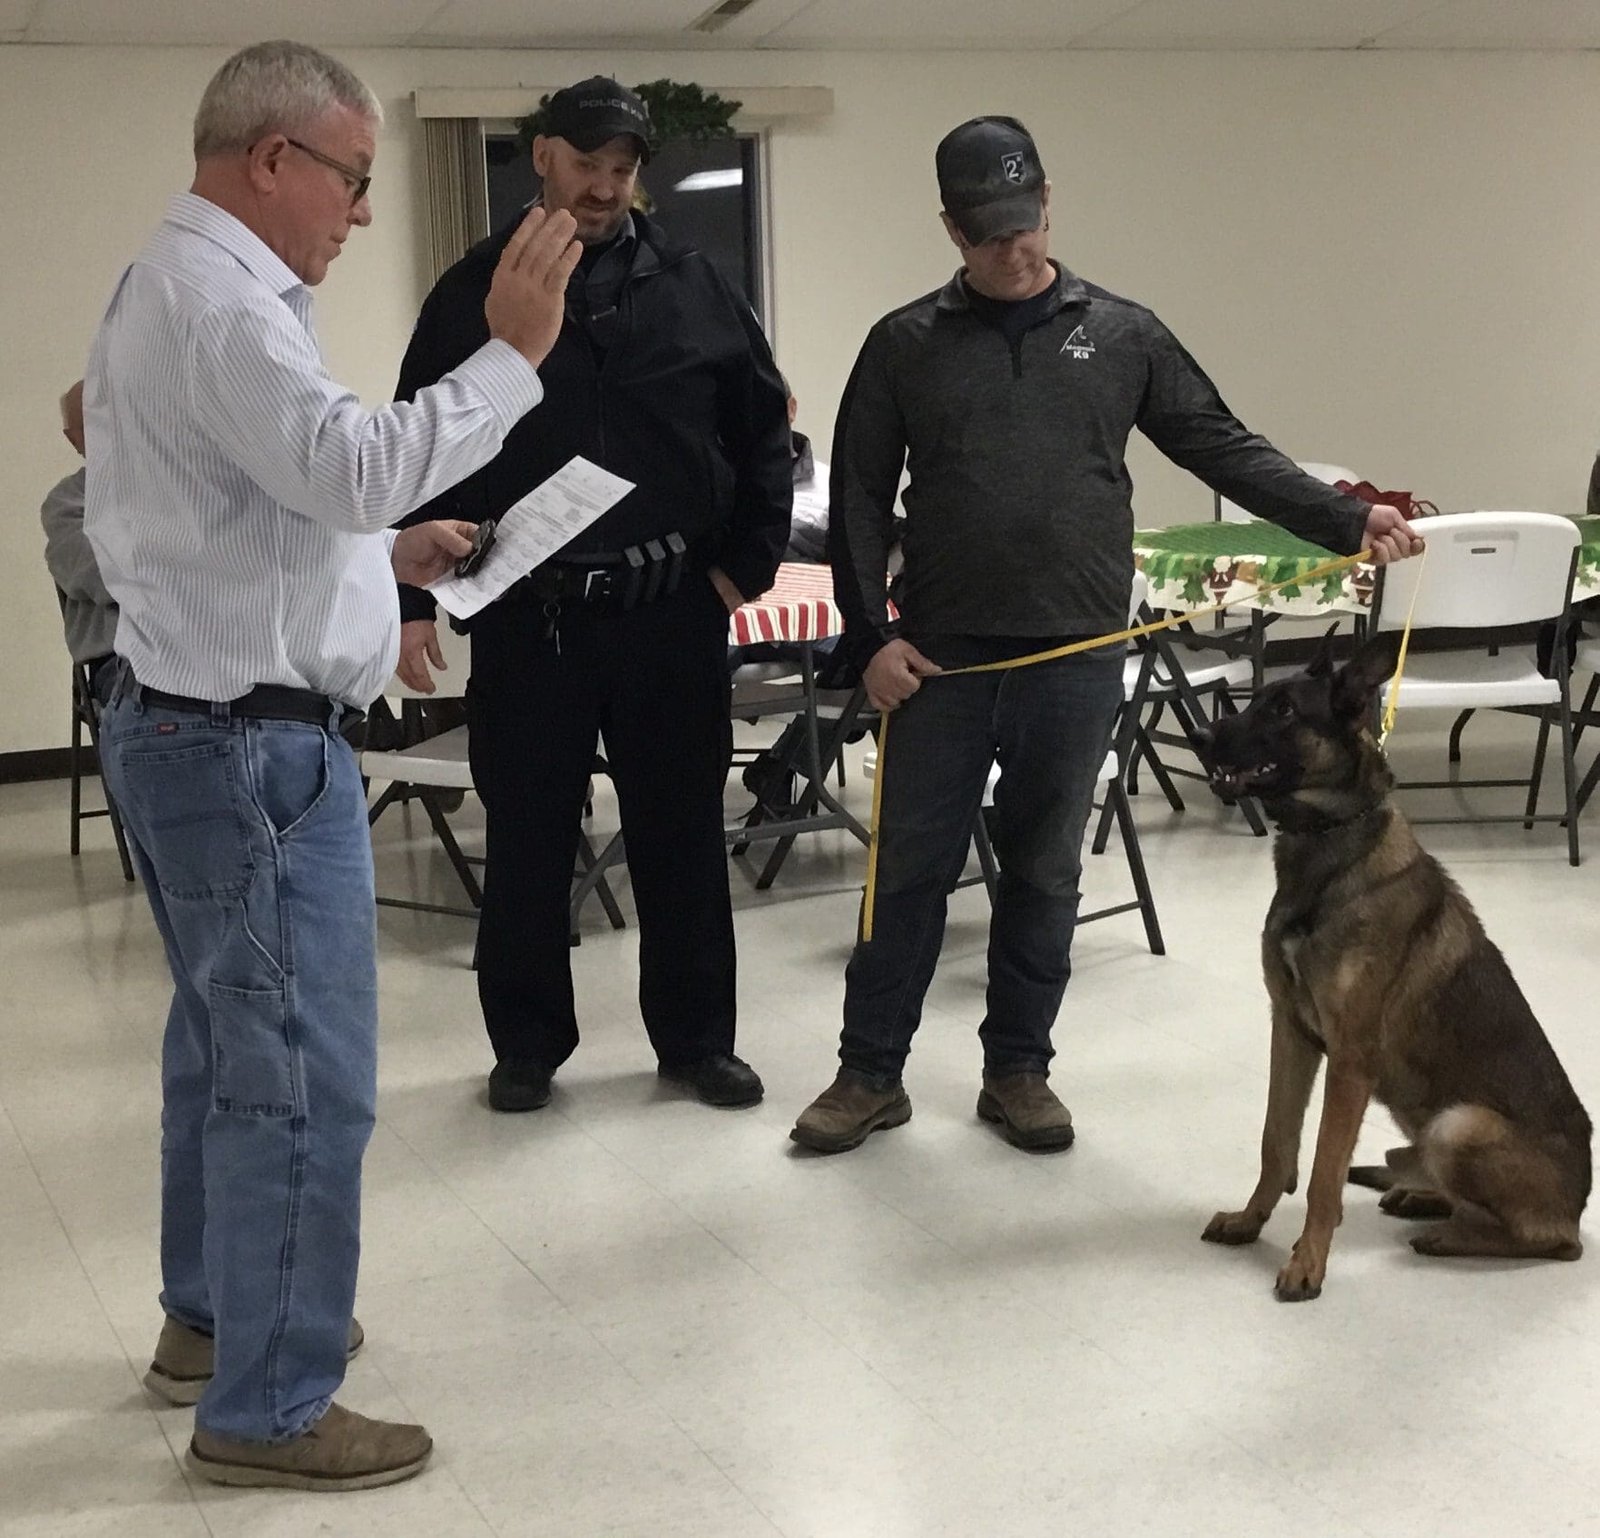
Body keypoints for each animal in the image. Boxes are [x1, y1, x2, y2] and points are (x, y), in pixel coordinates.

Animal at [1203, 633, 1587, 1293]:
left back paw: (1449, 1235)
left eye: (1285, 711)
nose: (1203, 735)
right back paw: (1424, 1200)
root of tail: (1581, 1202)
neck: (1329, 846)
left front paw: (1308, 1262)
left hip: (1457, 1126)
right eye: (1256, 700)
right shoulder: (1292, 1030)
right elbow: (1277, 1143)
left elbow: (1324, 1173)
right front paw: (1250, 1220)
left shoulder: (1350, 1060)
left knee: (1553, 1242)